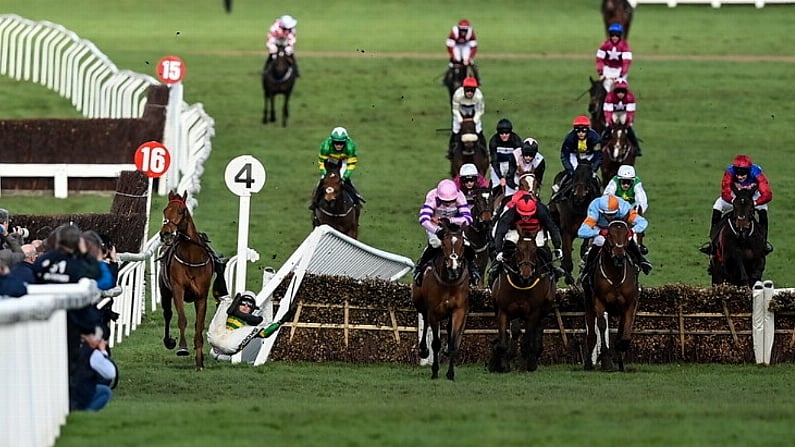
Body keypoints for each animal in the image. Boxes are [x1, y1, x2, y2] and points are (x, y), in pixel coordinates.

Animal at [158, 191, 218, 370]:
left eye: (181, 211)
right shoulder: (178, 290)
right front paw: (183, 347)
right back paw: (169, 341)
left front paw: (199, 361)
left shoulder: (201, 296)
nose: (166, 234)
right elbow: (182, 319)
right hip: (164, 292)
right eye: (165, 210)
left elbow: (199, 325)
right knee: (168, 314)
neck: (192, 257)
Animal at [414, 220, 470, 382]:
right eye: (444, 244)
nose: (454, 268)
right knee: (425, 321)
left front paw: (450, 373)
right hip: (420, 304)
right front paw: (434, 370)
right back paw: (423, 350)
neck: (449, 282)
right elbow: (435, 343)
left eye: (462, 244)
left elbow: (453, 342)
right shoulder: (434, 312)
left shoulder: (459, 311)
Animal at [488, 229, 556, 372]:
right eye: (518, 249)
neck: (521, 285)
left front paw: (526, 364)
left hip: (544, 309)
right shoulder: (504, 311)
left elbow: (526, 341)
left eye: (535, 250)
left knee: (538, 329)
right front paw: (501, 364)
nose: (526, 273)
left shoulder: (534, 313)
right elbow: (503, 342)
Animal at [584, 220, 640, 372]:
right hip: (589, 305)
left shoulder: (630, 304)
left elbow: (626, 328)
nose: (619, 257)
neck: (615, 276)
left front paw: (621, 347)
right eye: (609, 235)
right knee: (592, 334)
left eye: (626, 234)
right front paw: (606, 360)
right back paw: (588, 363)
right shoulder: (598, 301)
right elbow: (602, 326)